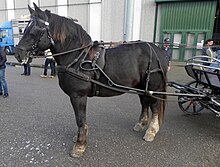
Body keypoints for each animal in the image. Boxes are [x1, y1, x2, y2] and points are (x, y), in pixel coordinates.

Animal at [14, 3, 168, 157]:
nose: (17, 53)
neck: (77, 56)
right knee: (144, 103)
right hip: (141, 86)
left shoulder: (78, 96)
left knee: (154, 106)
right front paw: (80, 137)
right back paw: (141, 124)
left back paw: (151, 131)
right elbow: (81, 120)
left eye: (34, 31)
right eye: (24, 29)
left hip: (153, 87)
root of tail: (158, 51)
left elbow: (80, 119)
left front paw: (80, 145)